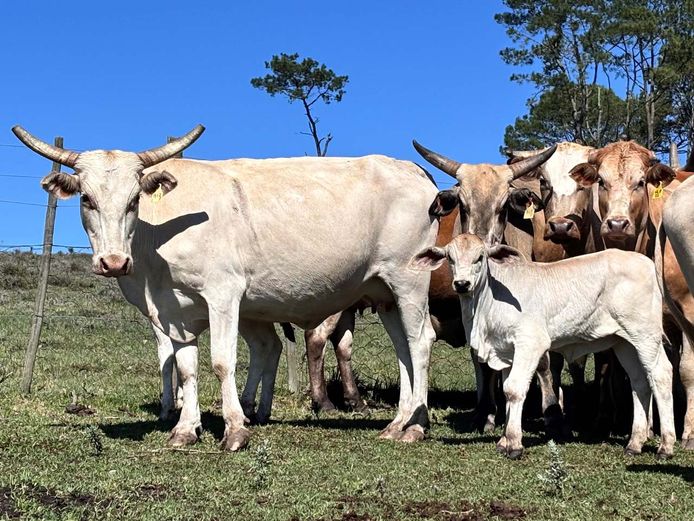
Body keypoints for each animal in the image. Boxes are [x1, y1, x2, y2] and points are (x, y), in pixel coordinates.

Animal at [14, 125, 441, 451]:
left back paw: (416, 427)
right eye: (87, 199)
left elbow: (222, 361)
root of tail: (413, 171)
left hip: (408, 279)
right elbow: (185, 367)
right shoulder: (172, 310)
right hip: (383, 292)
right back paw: (396, 423)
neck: (155, 244)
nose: (114, 262)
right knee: (403, 349)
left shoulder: (223, 294)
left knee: (420, 342)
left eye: (134, 199)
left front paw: (235, 429)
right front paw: (185, 430)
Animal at [410, 233, 676, 459]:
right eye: (450, 258)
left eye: (480, 257)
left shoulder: (530, 343)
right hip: (624, 341)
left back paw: (666, 445)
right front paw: (504, 440)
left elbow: (514, 389)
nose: (462, 284)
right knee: (640, 382)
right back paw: (635, 443)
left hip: (646, 334)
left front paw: (514, 444)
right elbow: (506, 390)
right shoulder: (506, 351)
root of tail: (646, 263)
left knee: (661, 374)